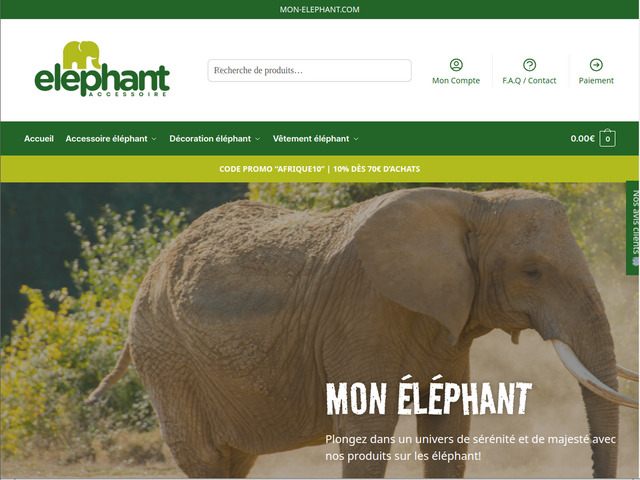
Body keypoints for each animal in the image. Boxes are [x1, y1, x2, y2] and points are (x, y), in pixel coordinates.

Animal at [88, 187, 638, 478]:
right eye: (533, 272)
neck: (475, 203)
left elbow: (448, 425)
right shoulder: (362, 312)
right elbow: (367, 428)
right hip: (166, 355)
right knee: (205, 458)